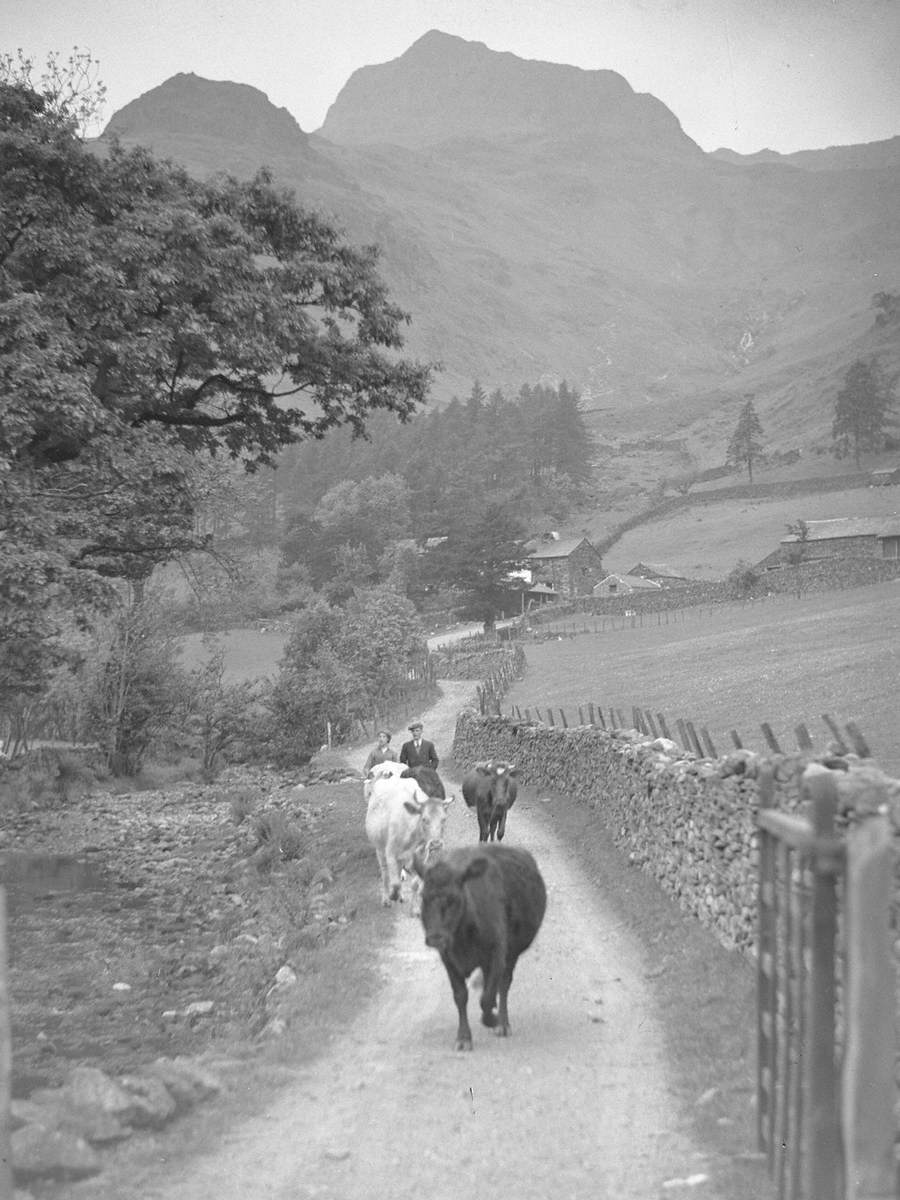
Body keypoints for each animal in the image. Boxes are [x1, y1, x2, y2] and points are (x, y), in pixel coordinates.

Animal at [364, 772, 453, 902]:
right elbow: (395, 883)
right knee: (385, 874)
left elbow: (415, 882)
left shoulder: (421, 859)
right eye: (424, 819)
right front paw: (393, 895)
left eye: (444, 819)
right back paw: (386, 898)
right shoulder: (390, 853)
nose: (436, 844)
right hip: (379, 848)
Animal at [412, 844, 547, 1051]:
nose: (436, 937)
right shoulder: (449, 960)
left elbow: (487, 997)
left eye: (454, 898)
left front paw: (493, 1019)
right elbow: (461, 996)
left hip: (512, 954)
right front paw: (463, 1037)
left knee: (504, 984)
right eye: (423, 897)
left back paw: (502, 1023)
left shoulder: (497, 955)